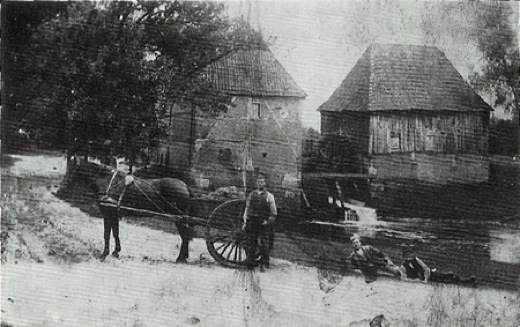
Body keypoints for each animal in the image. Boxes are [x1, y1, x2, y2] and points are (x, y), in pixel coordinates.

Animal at [61, 159, 198, 264]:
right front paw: (116, 251)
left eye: (71, 171)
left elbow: (107, 234)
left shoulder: (108, 214)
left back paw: (180, 258)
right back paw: (183, 257)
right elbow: (115, 233)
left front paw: (104, 254)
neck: (107, 182)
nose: (59, 192)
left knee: (184, 235)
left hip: (178, 217)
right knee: (185, 235)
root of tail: (185, 186)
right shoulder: (114, 215)